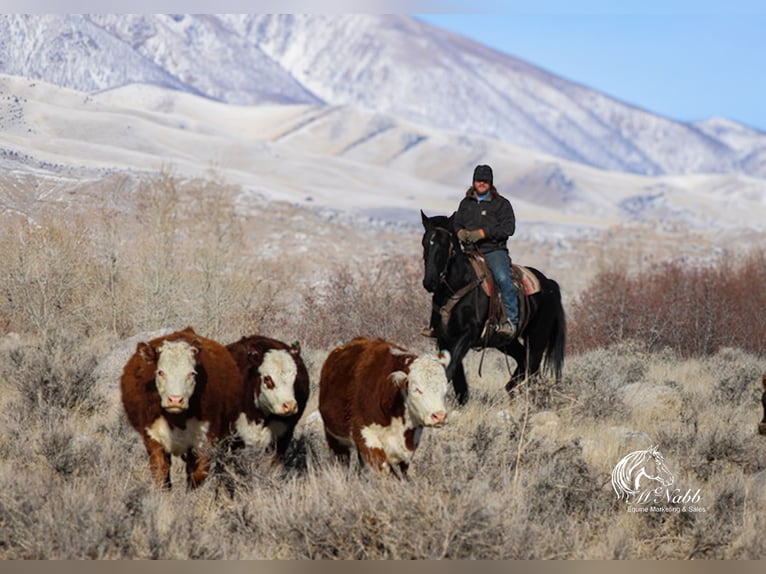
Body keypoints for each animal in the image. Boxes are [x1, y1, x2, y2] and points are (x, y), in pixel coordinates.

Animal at [120, 328, 243, 490]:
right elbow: (161, 474)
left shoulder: (205, 439)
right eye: (160, 372)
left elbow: (197, 476)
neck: (176, 420)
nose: (175, 400)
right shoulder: (152, 438)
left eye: (191, 373)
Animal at [318, 336, 450, 480]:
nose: (439, 416)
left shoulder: (411, 442)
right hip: (334, 438)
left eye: (445, 388)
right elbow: (386, 469)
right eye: (416, 389)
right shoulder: (366, 436)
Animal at [424, 212, 568, 404]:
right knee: (523, 360)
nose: (429, 282)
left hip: (537, 339)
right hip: (506, 341)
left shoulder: (467, 335)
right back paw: (511, 389)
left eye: (444, 244)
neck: (457, 286)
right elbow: (458, 378)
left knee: (532, 368)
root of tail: (549, 284)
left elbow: (451, 369)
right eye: (425, 243)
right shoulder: (444, 338)